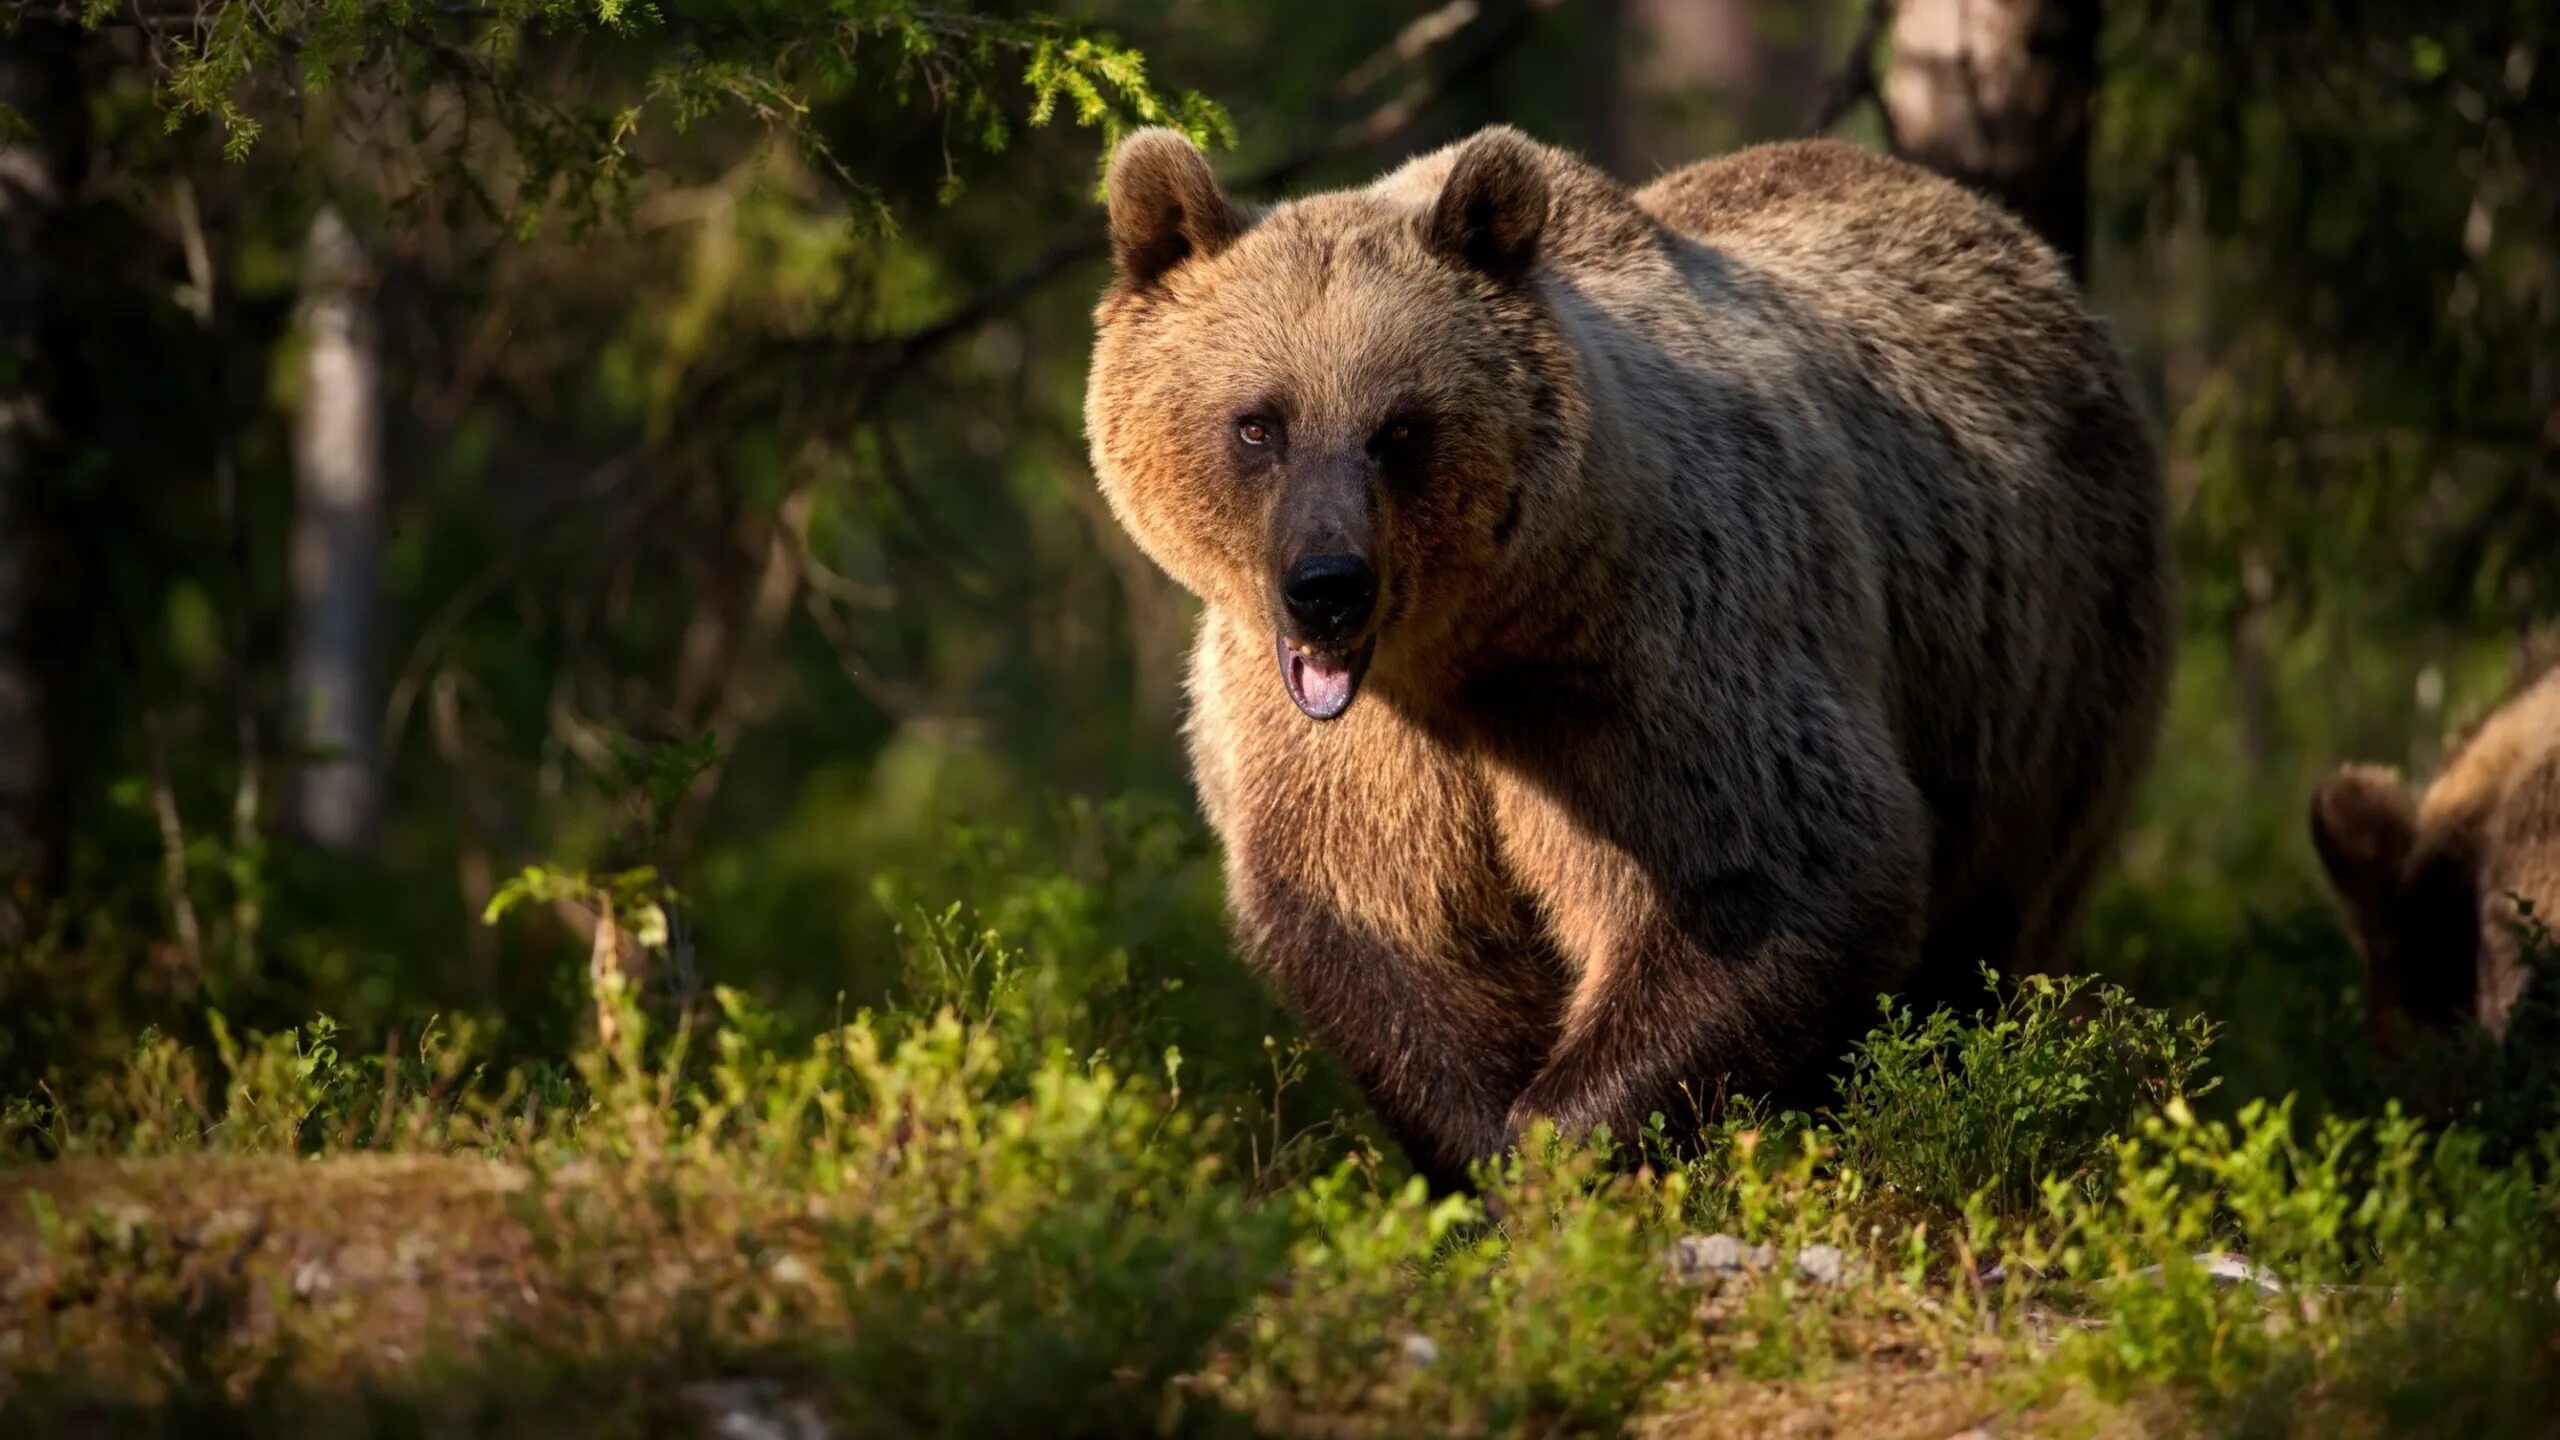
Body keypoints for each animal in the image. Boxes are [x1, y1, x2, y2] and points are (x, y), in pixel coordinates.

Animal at [1080, 122, 2181, 1183]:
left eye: (1400, 428)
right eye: (1258, 423)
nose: (1327, 585)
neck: (1468, 647)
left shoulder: (1659, 659)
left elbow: (1772, 877)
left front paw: (1562, 1146)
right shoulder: (1347, 748)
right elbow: (1380, 919)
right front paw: (1482, 1151)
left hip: (2048, 682)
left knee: (1984, 939)